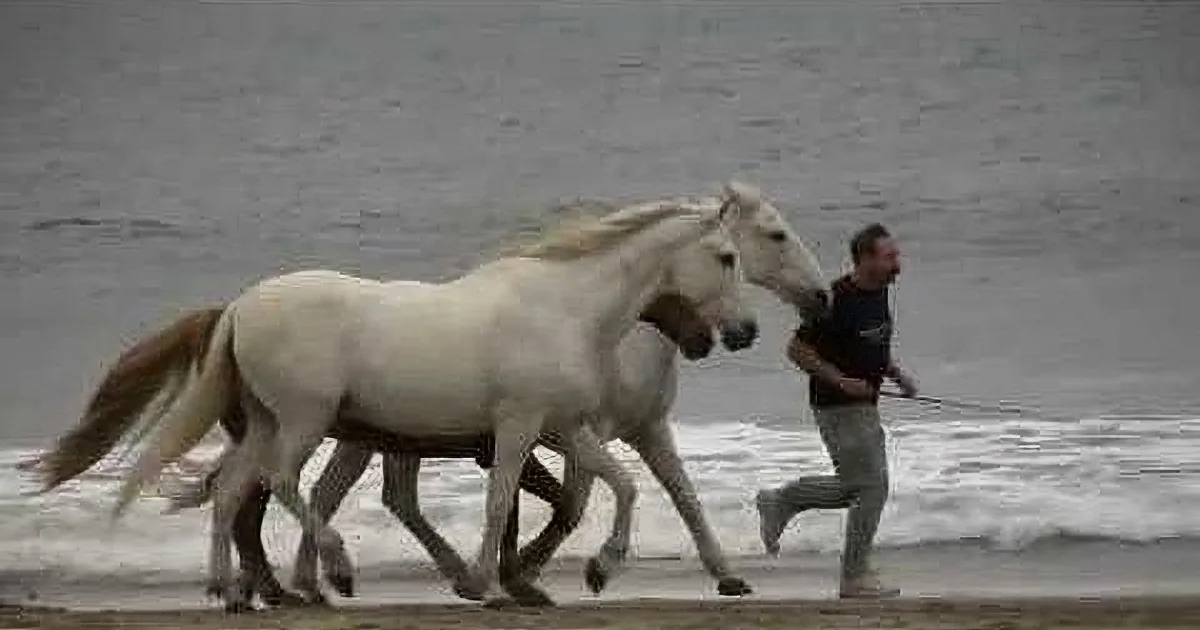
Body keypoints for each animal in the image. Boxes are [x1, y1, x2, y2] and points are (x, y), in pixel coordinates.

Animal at [77, 196, 760, 609]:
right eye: (727, 256)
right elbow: (501, 502)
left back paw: (236, 591)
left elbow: (621, 485)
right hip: (304, 420)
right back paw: (334, 570)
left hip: (268, 423)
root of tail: (242, 306)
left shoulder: (564, 426)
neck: (564, 309)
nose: (742, 333)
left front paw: (601, 567)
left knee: (231, 492)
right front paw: (488, 586)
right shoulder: (518, 426)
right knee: (282, 484)